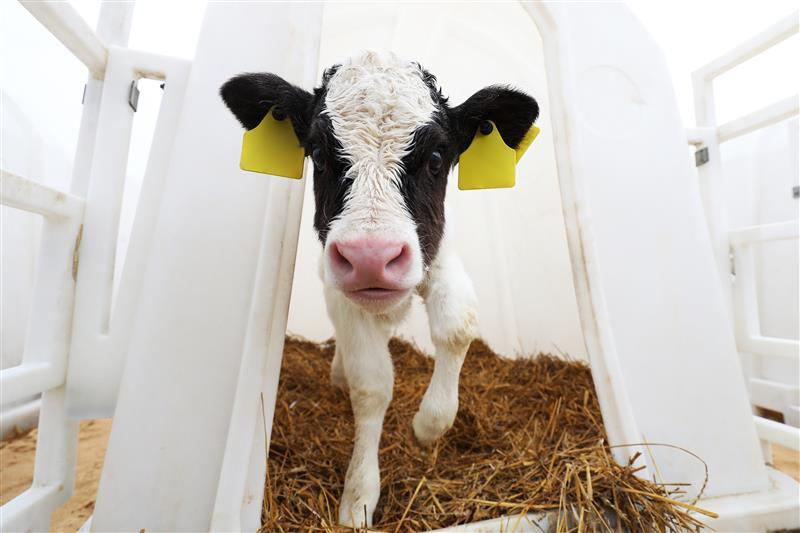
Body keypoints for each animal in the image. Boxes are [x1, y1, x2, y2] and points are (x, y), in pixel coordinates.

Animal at [220, 51, 539, 528]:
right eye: (318, 153)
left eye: (437, 157)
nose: (371, 256)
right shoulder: (341, 291)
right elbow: (371, 383)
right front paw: (359, 499)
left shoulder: (438, 256)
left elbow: (457, 324)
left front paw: (428, 426)